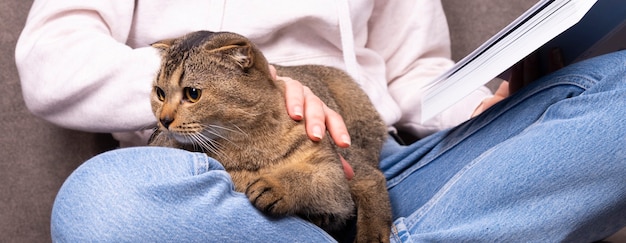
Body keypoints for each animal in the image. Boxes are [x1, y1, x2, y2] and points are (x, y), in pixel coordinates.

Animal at [147, 30, 390, 243]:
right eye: (160, 93)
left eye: (193, 94)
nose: (164, 120)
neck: (248, 141)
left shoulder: (332, 172)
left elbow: (308, 178)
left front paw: (275, 185)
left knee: (372, 177)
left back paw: (372, 234)